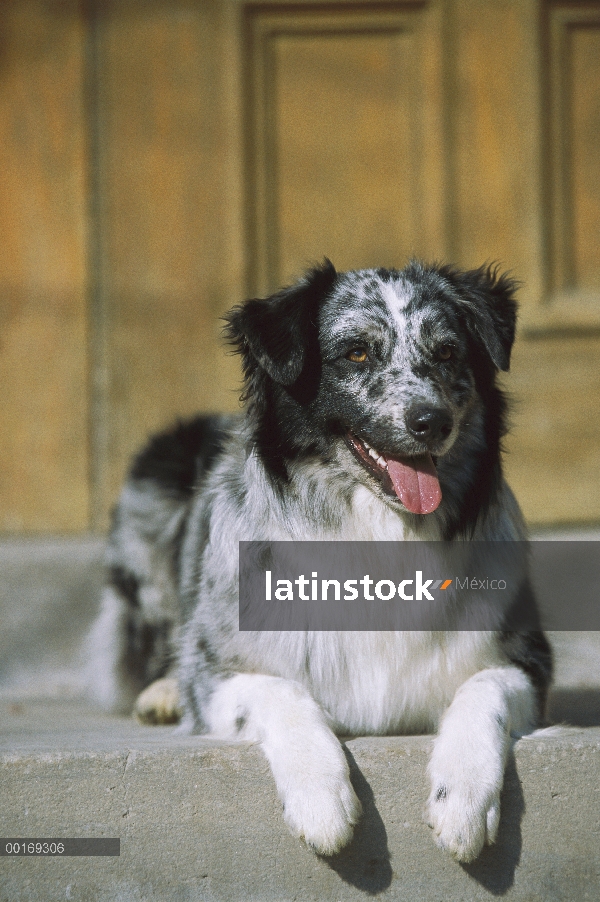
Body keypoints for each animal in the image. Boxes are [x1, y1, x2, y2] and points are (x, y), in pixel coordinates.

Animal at [85, 260, 552, 860]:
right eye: (356, 353)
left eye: (448, 351)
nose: (432, 421)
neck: (382, 535)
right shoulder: (220, 675)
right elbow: (282, 692)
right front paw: (321, 798)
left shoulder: (528, 659)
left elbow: (483, 690)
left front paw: (463, 800)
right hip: (157, 473)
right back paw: (161, 692)